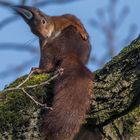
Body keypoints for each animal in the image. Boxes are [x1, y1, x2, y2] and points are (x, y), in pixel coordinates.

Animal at [13, 5, 93, 140]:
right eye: (32, 30)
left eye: (43, 21)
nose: (44, 34)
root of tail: (73, 55)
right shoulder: (42, 41)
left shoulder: (62, 20)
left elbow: (72, 19)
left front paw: (82, 31)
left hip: (51, 48)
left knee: (48, 64)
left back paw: (39, 69)